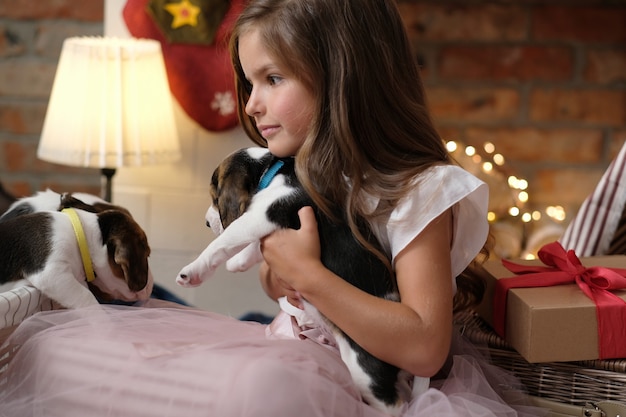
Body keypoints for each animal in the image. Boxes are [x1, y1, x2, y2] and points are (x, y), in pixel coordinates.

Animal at [176, 147, 416, 412]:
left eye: (214, 197)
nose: (206, 222)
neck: (273, 169)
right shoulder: (270, 225)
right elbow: (255, 247)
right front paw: (238, 262)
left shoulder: (260, 216)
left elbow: (221, 243)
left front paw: (192, 271)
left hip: (365, 370)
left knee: (395, 404)